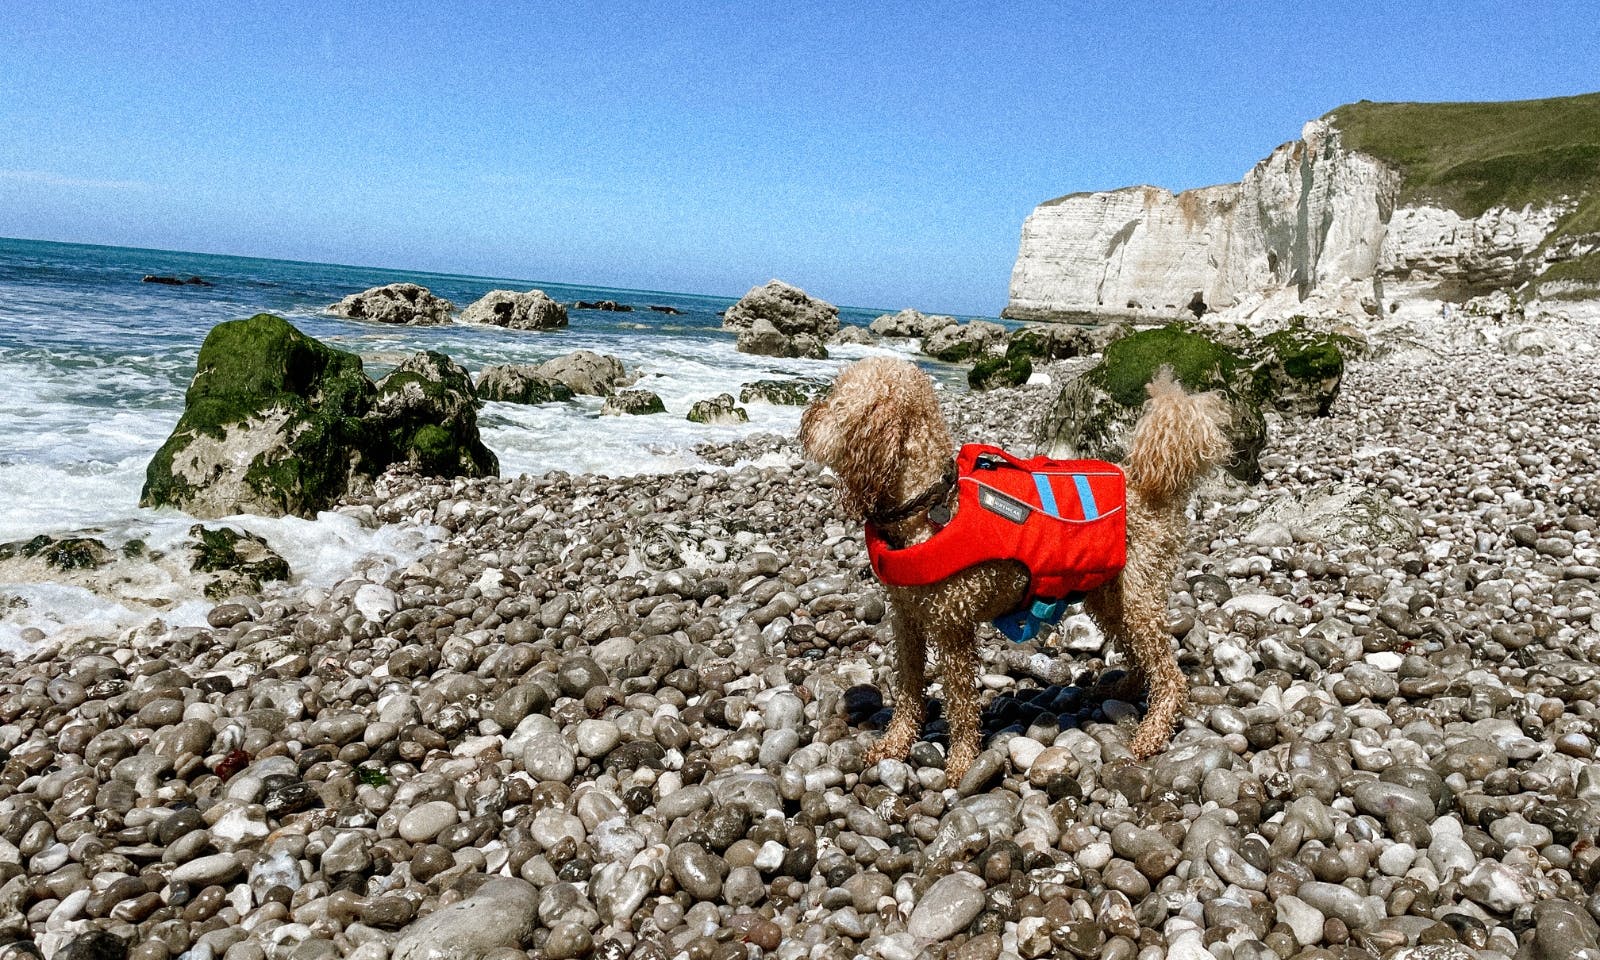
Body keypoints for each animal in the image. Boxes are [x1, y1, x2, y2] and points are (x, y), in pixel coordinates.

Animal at [796, 356, 1222, 784]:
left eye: (836, 400)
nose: (806, 417)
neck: (929, 503)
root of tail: (1150, 486)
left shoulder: (953, 628)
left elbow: (962, 704)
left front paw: (962, 764)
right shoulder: (907, 620)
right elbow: (909, 689)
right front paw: (894, 744)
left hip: (1138, 594)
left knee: (1168, 672)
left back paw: (1153, 731)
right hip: (1109, 594)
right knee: (1138, 650)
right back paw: (1126, 689)